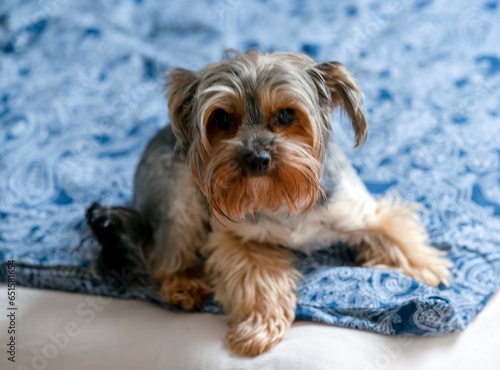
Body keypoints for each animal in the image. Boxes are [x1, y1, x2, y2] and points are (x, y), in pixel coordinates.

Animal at [87, 49, 454, 356]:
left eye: (287, 115)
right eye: (222, 119)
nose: (257, 158)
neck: (280, 196)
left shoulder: (360, 211)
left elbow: (396, 233)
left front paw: (427, 270)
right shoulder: (237, 239)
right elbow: (258, 282)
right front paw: (257, 331)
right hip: (179, 201)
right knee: (163, 254)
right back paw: (184, 285)